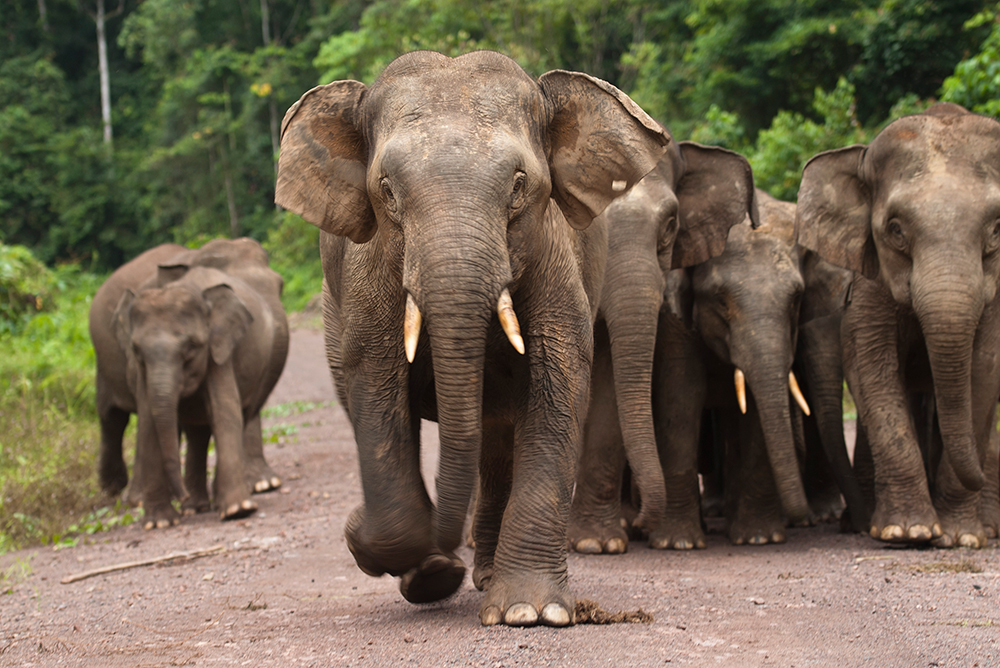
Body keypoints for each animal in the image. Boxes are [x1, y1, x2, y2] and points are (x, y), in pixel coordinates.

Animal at [89, 239, 290, 528]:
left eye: (281, 286)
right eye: (136, 350)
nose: (180, 496)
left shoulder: (220, 349)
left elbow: (225, 411)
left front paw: (240, 506)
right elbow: (149, 421)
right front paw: (160, 522)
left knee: (200, 429)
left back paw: (196, 504)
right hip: (104, 360)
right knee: (112, 418)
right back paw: (123, 494)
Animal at [272, 51, 672, 628]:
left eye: (519, 184)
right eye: (387, 191)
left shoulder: (555, 259)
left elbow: (559, 385)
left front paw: (530, 613)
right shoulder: (367, 276)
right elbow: (375, 389)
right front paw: (408, 557)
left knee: (497, 435)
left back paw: (482, 575)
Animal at [796, 102, 1000, 544]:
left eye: (996, 230)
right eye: (895, 230)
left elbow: (985, 370)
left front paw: (960, 537)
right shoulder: (870, 284)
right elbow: (871, 367)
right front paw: (907, 532)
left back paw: (989, 526)